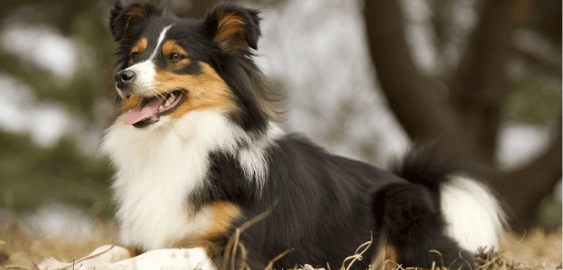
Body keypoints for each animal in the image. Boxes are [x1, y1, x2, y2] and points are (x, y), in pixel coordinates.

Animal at [39, 2, 506, 270]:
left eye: (175, 58)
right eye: (135, 56)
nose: (123, 78)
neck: (181, 139)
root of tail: (415, 184)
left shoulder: (241, 248)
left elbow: (154, 258)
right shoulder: (153, 228)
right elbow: (110, 250)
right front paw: (60, 262)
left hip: (399, 213)